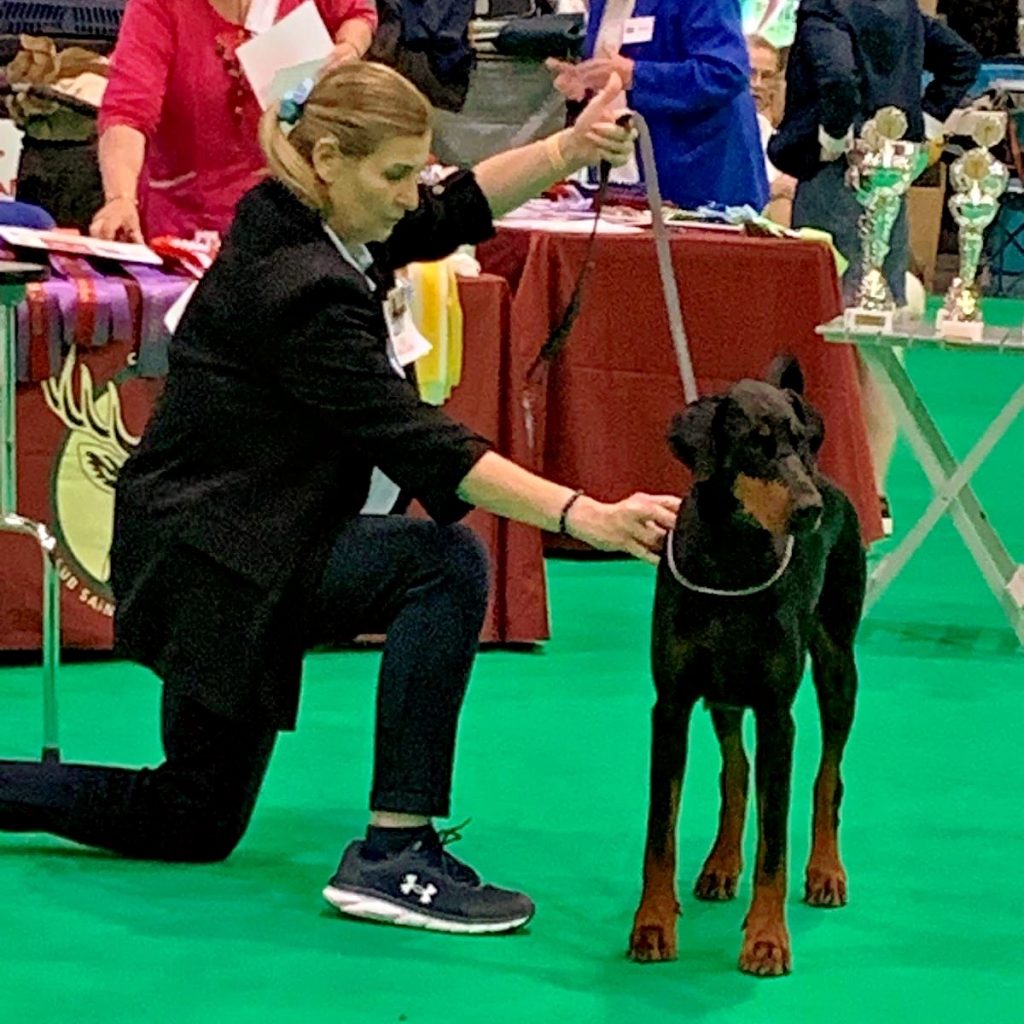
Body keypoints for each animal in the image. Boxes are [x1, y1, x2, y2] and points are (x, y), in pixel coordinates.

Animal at [626, 360, 868, 974]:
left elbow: (774, 844)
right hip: (724, 696)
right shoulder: (672, 704)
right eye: (756, 445)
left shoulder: (777, 712)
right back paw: (719, 864)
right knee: (735, 770)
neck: (730, 560)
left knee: (828, 776)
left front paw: (765, 940)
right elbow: (659, 831)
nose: (810, 510)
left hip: (838, 666)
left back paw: (826, 871)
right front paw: (653, 925)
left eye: (800, 442)